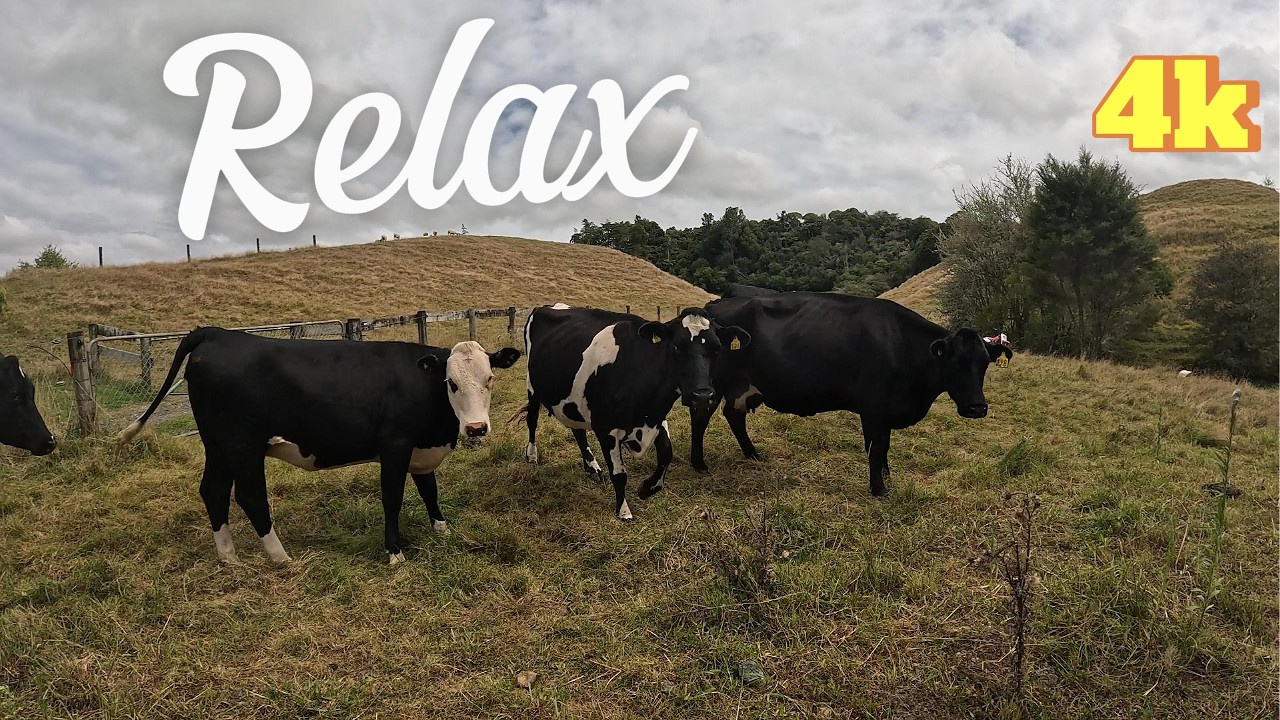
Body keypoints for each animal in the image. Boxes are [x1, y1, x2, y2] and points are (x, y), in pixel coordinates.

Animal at [118, 327, 521, 564]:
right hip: (241, 445)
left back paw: (228, 557)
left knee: (213, 491)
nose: (476, 428)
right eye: (451, 383)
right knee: (249, 496)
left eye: (489, 378)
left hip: (217, 446)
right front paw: (394, 552)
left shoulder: (420, 451)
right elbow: (392, 498)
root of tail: (217, 333)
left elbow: (429, 491)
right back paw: (279, 556)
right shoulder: (395, 446)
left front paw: (442, 530)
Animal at [521, 304, 750, 520]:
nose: (702, 396)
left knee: (577, 429)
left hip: (573, 401)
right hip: (532, 387)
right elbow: (619, 473)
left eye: (717, 349)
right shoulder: (606, 428)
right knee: (532, 420)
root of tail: (547, 306)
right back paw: (532, 455)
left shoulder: (656, 418)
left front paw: (647, 488)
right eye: (677, 346)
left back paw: (592, 466)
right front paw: (623, 510)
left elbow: (666, 454)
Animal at [689, 293, 1012, 497]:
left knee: (734, 415)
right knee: (701, 416)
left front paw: (885, 477)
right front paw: (879, 490)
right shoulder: (873, 408)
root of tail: (717, 306)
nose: (977, 408)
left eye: (985, 363)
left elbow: (882, 448)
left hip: (742, 387)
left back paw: (752, 454)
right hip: (713, 384)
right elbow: (877, 448)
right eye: (955, 363)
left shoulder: (883, 412)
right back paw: (699, 463)